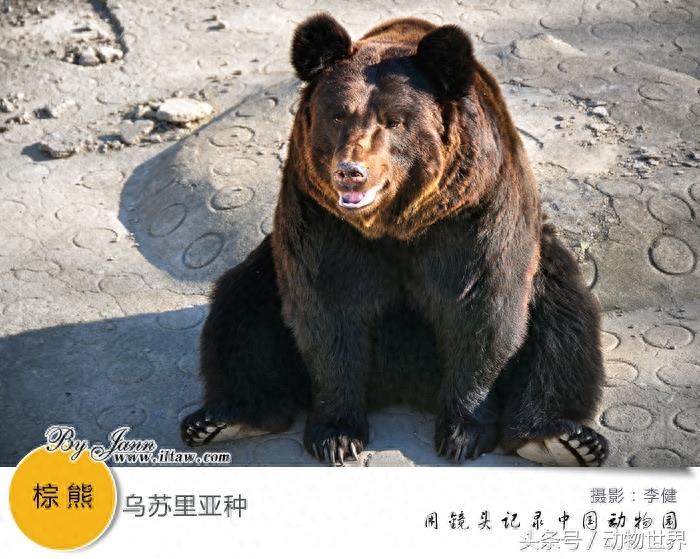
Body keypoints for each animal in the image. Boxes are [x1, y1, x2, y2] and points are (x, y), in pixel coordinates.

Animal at [181, 14, 609, 467]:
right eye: (337, 114)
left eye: (394, 120)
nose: (351, 172)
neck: (396, 224)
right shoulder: (324, 223)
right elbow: (327, 310)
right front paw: (336, 435)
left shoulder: (470, 217)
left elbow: (482, 306)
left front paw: (463, 433)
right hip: (270, 261)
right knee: (241, 305)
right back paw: (223, 419)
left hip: (541, 256)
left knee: (564, 315)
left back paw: (559, 439)